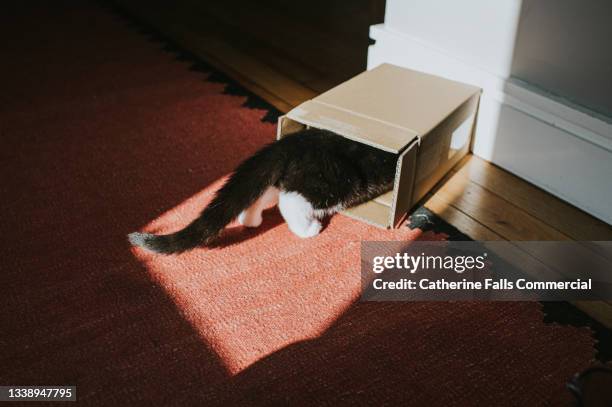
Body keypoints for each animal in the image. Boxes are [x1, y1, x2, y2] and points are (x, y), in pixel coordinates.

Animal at [128, 129, 396, 253]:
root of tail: (288, 143)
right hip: (334, 182)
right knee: (291, 202)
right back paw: (307, 229)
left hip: (281, 177)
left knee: (260, 193)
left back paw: (250, 219)